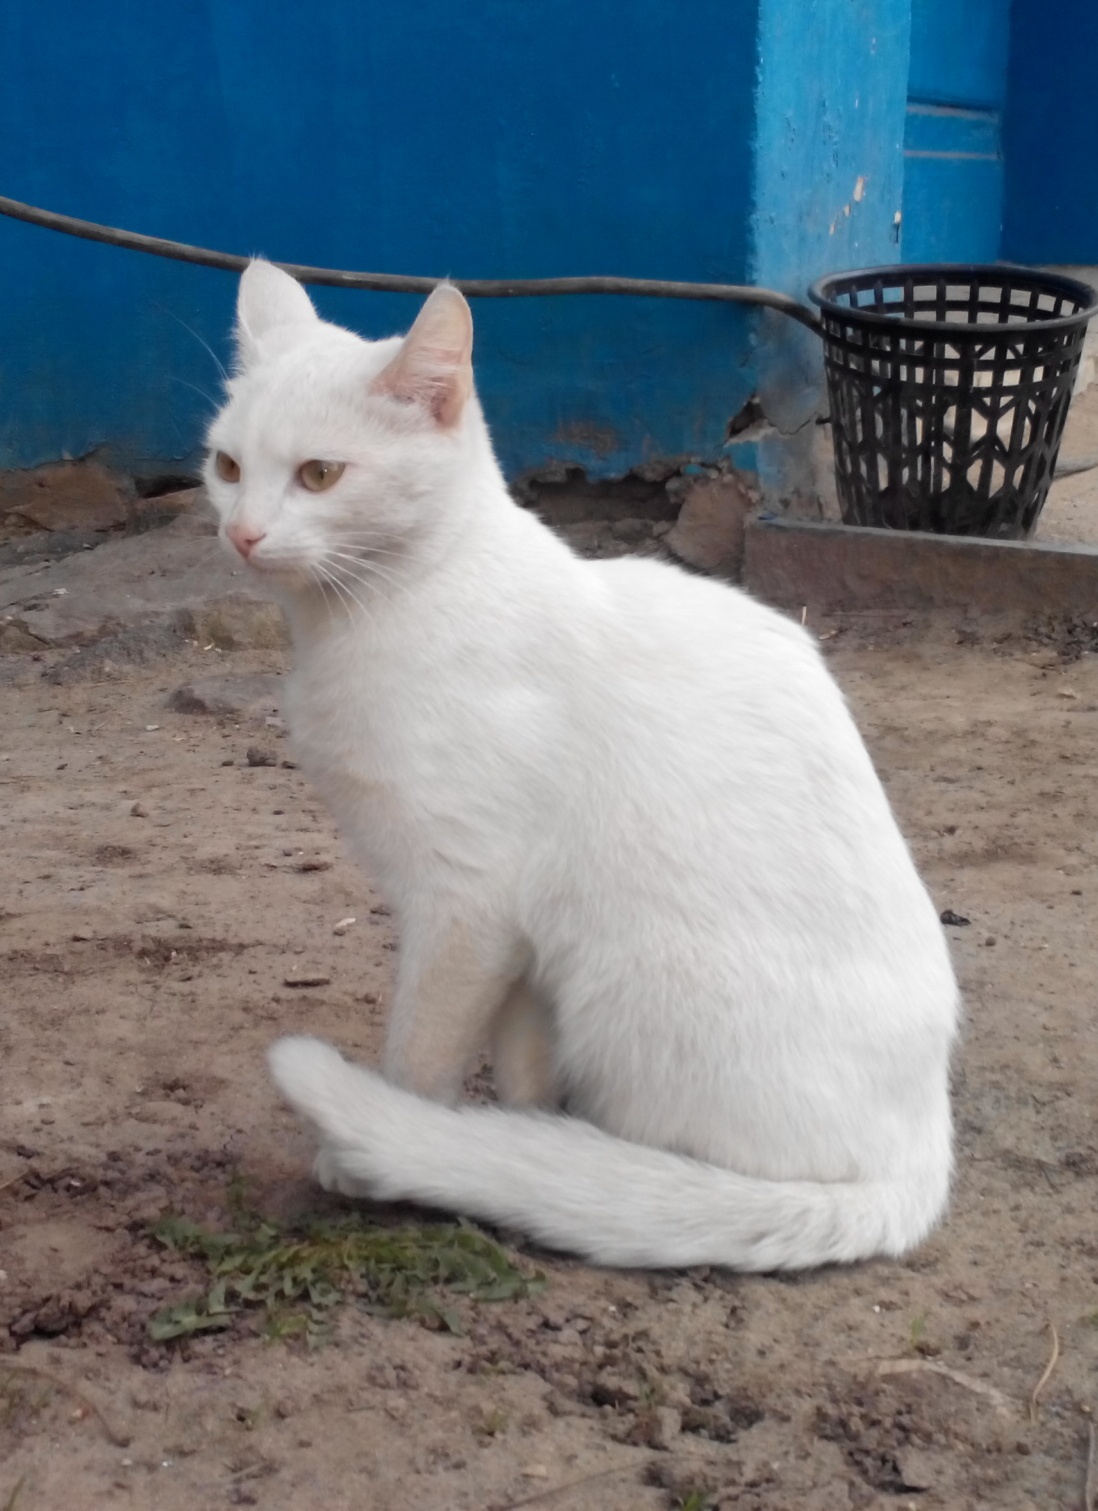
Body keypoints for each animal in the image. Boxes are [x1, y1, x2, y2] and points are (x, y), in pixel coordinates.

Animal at [204, 259, 959, 1271]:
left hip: (632, 981)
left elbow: (418, 1056)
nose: (242, 534)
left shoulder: (466, 900)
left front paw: (384, 1150)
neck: (366, 619)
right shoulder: (522, 940)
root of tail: (922, 1153)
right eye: (228, 467)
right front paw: (517, 1133)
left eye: (320, 475)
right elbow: (524, 1066)